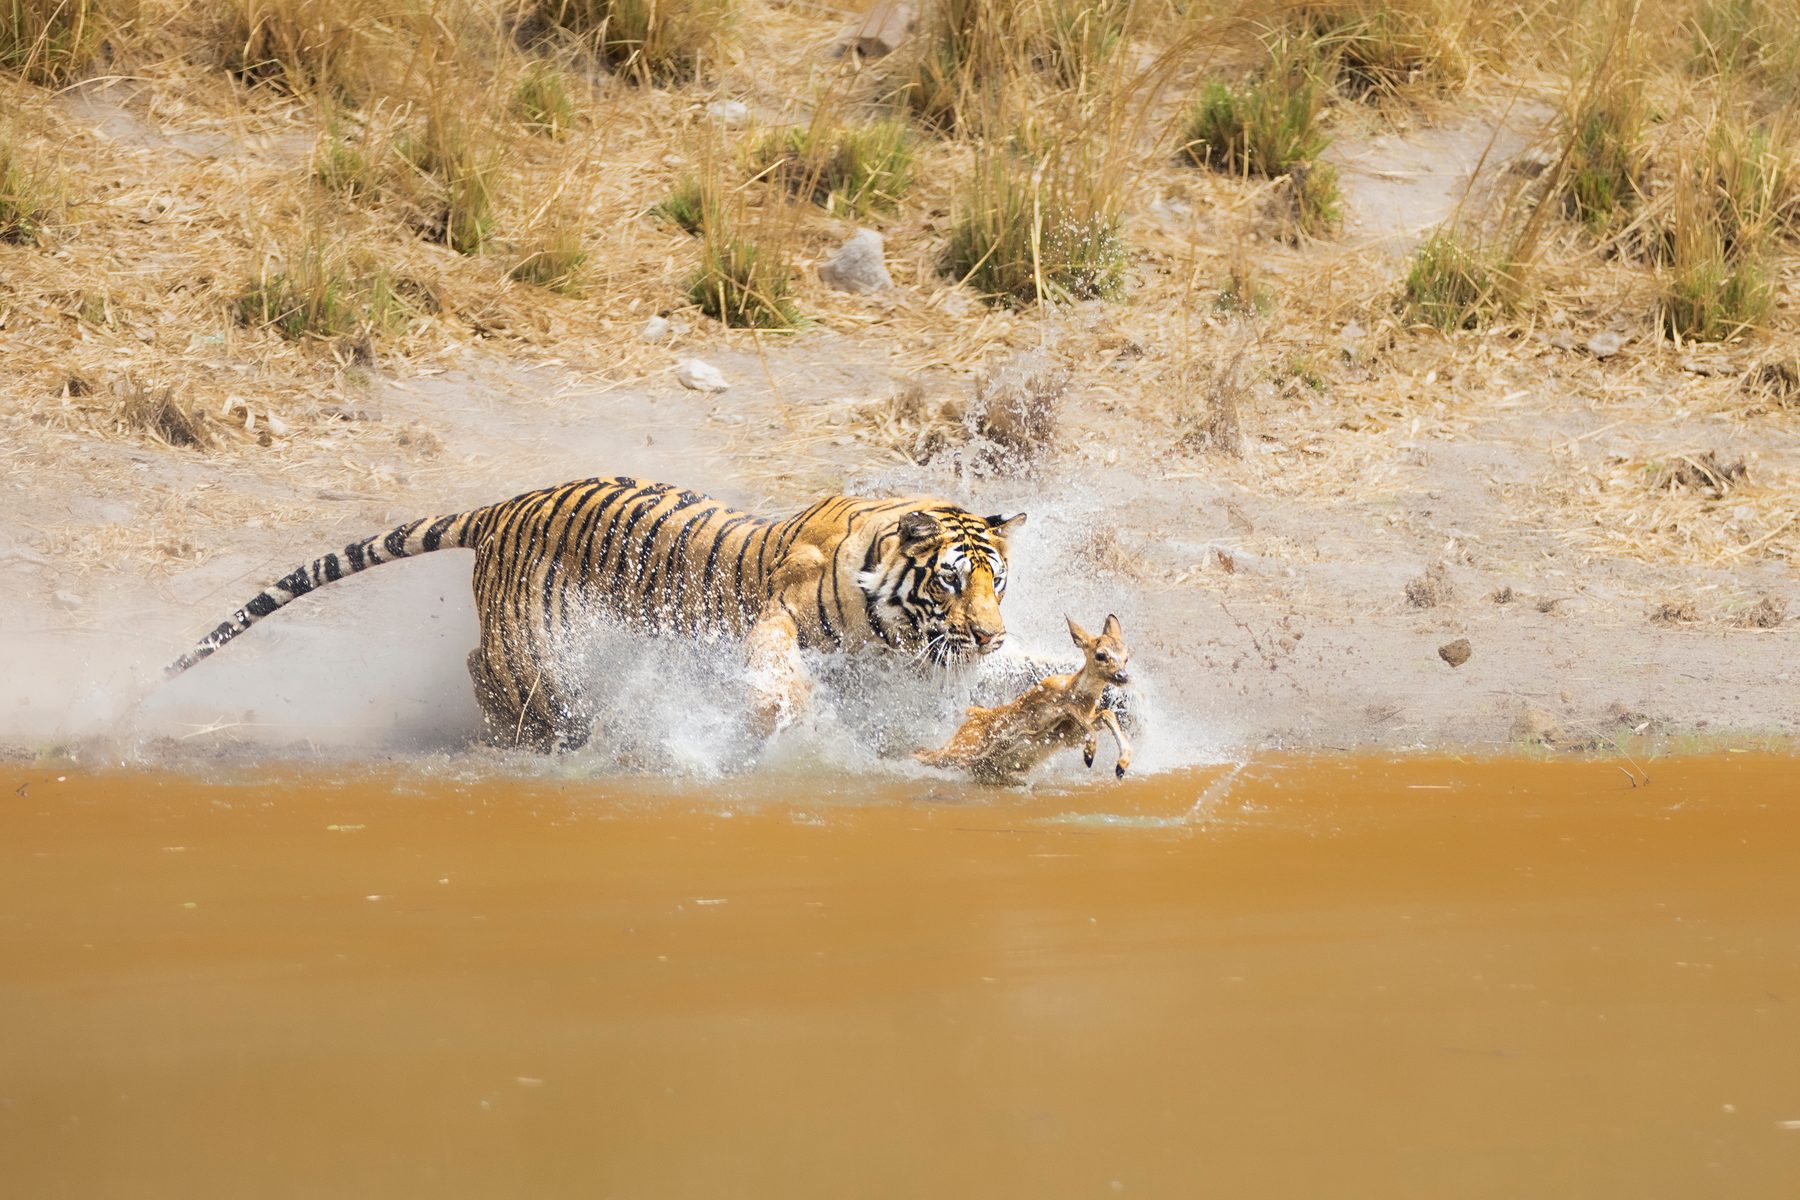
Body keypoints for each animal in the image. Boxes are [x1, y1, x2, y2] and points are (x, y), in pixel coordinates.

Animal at [166, 475, 1027, 750]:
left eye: (999, 584)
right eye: (951, 581)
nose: (991, 635)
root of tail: (503, 506)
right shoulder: (780, 610)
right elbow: (780, 666)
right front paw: (791, 710)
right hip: (533, 645)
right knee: (488, 671)